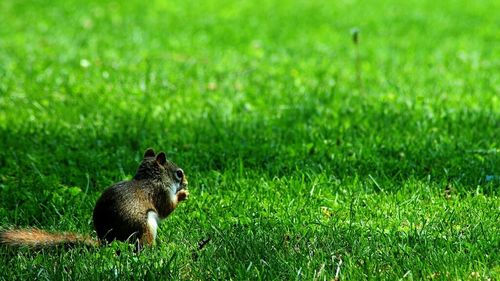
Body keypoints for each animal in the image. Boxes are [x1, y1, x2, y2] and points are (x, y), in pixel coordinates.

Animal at [0, 148, 188, 248]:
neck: (151, 178)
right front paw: (182, 195)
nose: (186, 183)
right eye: (178, 173)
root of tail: (106, 243)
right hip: (145, 225)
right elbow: (166, 209)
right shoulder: (161, 192)